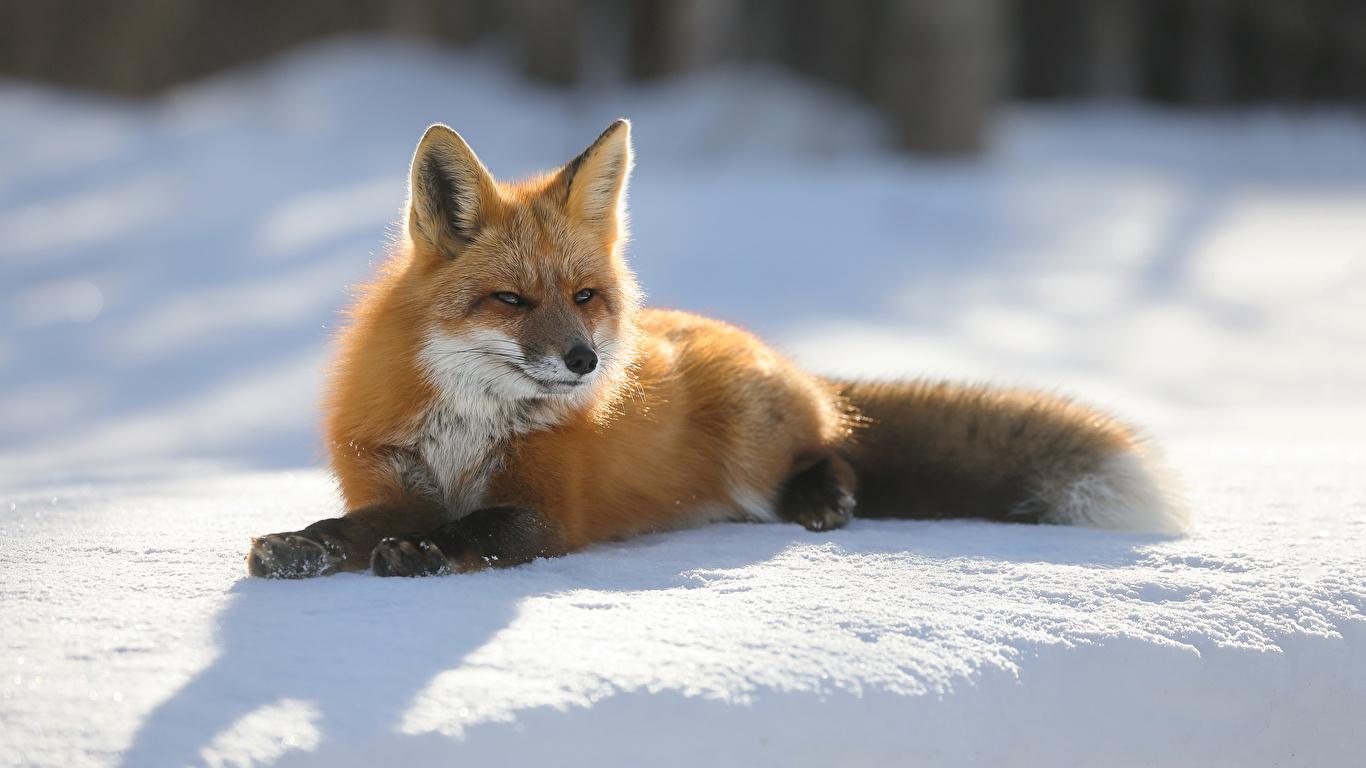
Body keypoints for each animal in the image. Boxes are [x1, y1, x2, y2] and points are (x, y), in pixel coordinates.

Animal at [246, 119, 1186, 579]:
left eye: (584, 297)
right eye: (509, 300)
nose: (586, 361)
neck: (467, 430)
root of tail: (787, 362)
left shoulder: (546, 508)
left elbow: (478, 526)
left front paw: (429, 554)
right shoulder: (394, 486)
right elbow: (346, 526)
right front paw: (301, 544)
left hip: (754, 445)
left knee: (837, 452)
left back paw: (824, 499)